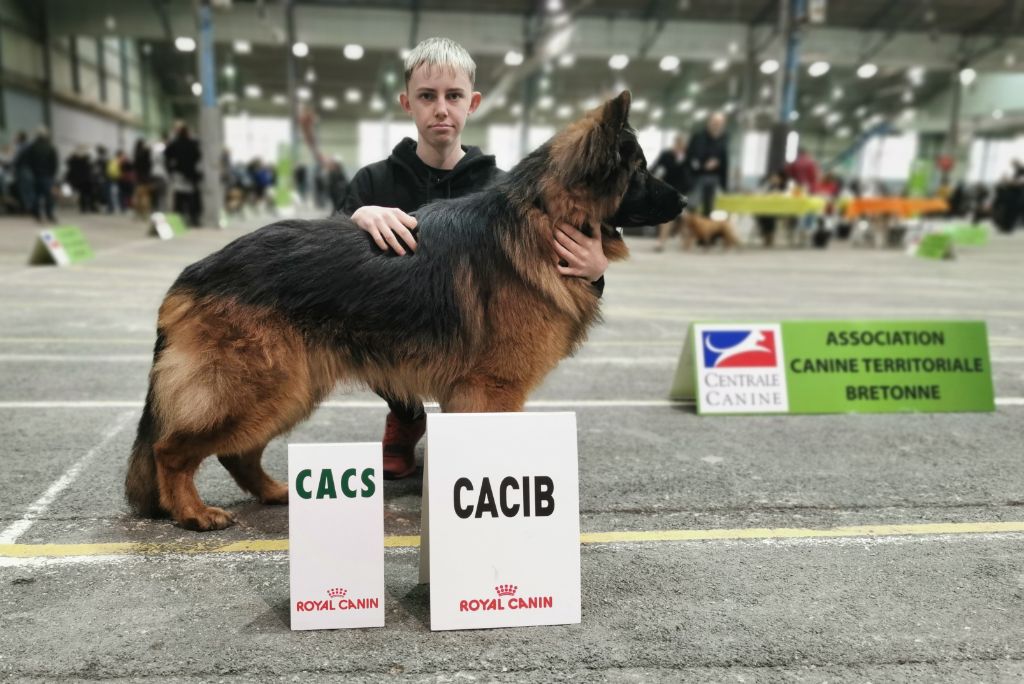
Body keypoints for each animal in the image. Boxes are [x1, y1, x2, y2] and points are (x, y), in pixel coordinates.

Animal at [124, 91, 685, 530]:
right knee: (171, 449)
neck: (543, 215)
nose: (683, 203)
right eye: (640, 171)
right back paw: (192, 512)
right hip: (261, 386)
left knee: (236, 451)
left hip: (291, 389)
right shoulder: (493, 389)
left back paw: (273, 493)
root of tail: (192, 273)